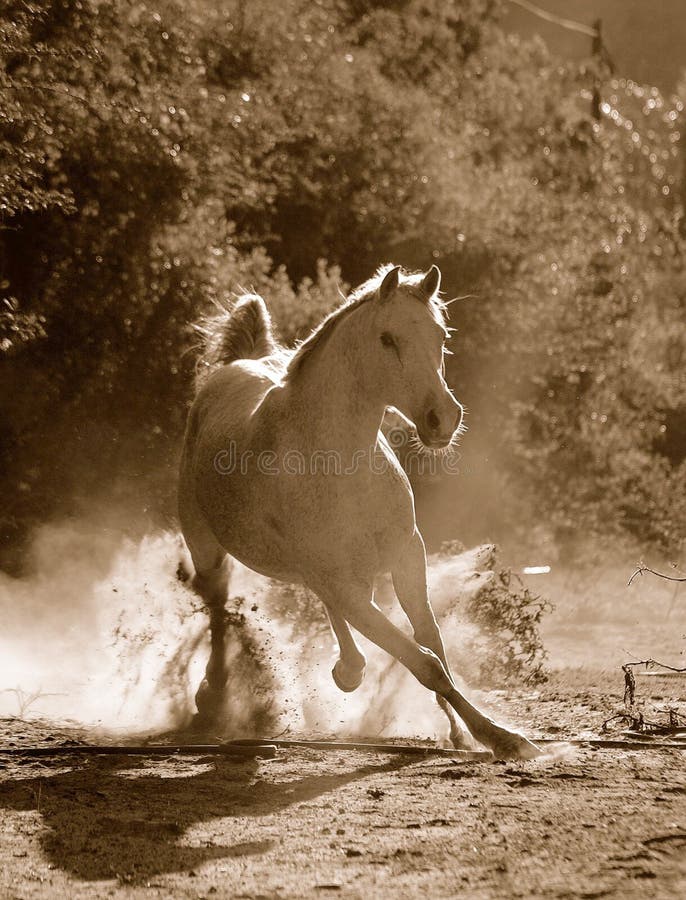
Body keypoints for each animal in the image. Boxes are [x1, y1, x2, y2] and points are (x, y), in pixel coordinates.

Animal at [179, 264, 540, 760]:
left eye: (441, 336)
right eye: (387, 338)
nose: (442, 419)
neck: (342, 462)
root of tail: (234, 366)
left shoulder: (407, 557)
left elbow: (432, 643)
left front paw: (466, 732)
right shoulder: (340, 580)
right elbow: (424, 662)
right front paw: (501, 738)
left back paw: (347, 669)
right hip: (207, 548)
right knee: (217, 611)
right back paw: (212, 697)